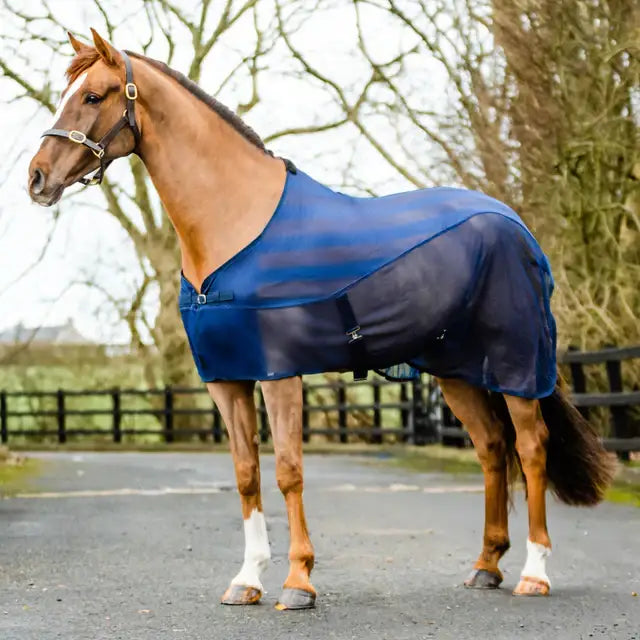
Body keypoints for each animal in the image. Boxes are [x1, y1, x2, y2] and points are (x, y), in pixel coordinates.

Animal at [27, 30, 614, 608]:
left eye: (93, 96)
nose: (37, 178)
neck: (234, 224)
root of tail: (516, 225)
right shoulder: (227, 379)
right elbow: (246, 474)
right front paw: (247, 579)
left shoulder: (279, 374)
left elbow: (288, 472)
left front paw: (298, 582)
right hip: (457, 371)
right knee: (492, 449)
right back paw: (486, 567)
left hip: (516, 365)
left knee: (531, 449)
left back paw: (534, 573)